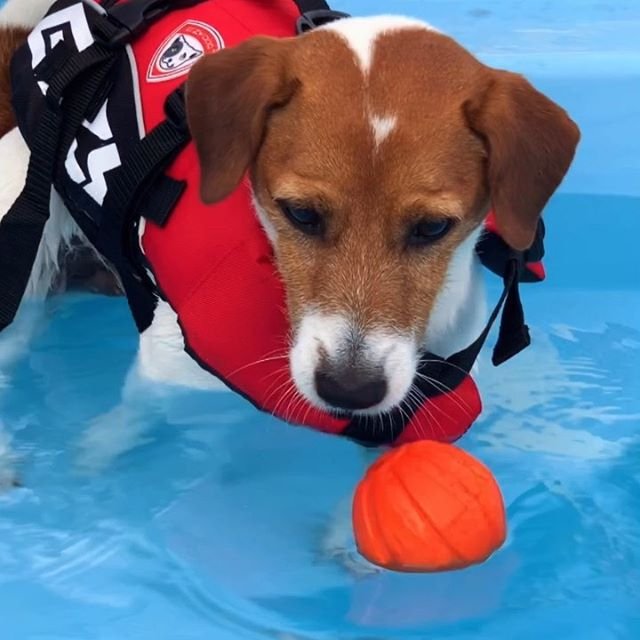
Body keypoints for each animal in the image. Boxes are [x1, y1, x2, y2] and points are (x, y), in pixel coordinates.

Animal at [0, 0, 580, 576]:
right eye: (300, 214)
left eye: (433, 228)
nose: (349, 390)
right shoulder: (168, 368)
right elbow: (134, 414)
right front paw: (99, 452)